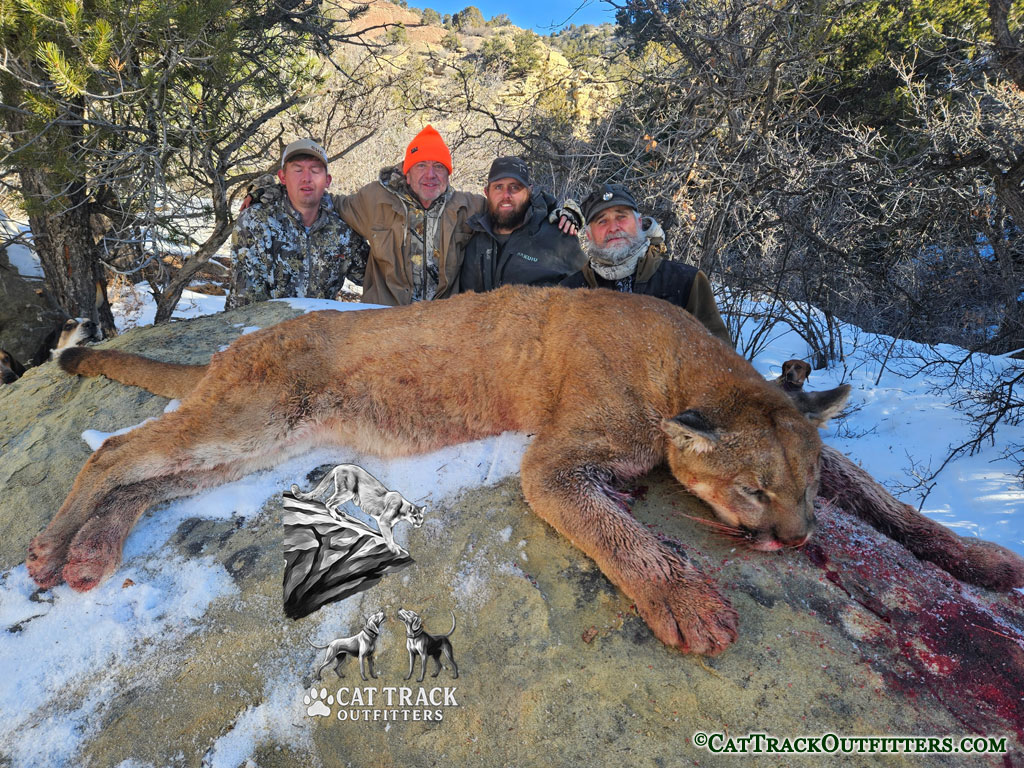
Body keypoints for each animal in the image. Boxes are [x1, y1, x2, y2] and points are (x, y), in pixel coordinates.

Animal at [29, 286, 1024, 655]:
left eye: (805, 491)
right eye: (753, 492)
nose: (796, 538)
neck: (682, 365)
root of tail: (239, 342)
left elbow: (889, 500)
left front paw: (983, 559)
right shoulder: (556, 461)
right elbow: (615, 528)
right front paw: (687, 602)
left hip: (263, 440)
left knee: (151, 478)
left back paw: (90, 554)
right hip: (253, 414)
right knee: (119, 451)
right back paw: (50, 550)